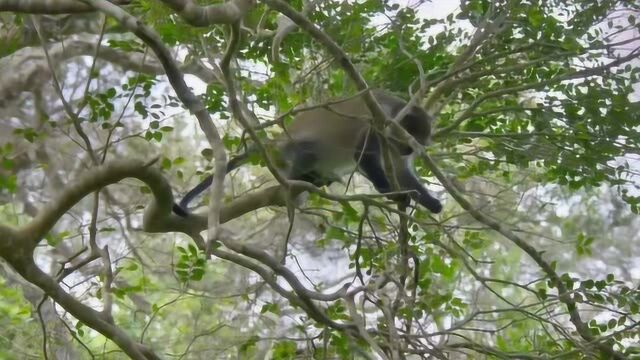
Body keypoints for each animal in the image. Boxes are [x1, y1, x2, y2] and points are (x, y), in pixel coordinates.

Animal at [170, 89, 442, 217]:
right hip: (295, 147)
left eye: (417, 144)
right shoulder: (379, 126)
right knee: (308, 151)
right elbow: (362, 155)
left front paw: (431, 203)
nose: (408, 149)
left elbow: (401, 171)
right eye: (408, 139)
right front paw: (393, 193)